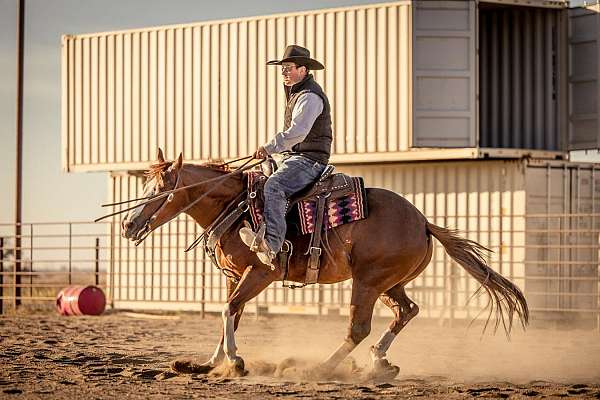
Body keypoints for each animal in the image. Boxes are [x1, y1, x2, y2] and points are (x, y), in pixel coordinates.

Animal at [119, 149, 528, 378]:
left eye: (160, 191)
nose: (127, 224)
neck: (236, 209)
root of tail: (423, 222)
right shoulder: (234, 277)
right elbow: (229, 315)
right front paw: (209, 364)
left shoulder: (261, 273)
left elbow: (229, 310)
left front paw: (234, 362)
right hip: (389, 283)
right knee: (407, 311)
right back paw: (378, 363)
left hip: (368, 282)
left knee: (358, 328)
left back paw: (318, 368)